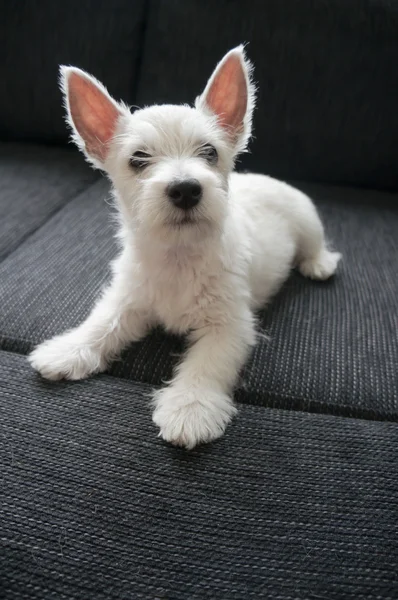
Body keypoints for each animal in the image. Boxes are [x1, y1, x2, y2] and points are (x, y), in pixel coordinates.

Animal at [29, 47, 340, 448]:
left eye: (209, 152)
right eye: (138, 159)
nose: (186, 189)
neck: (178, 254)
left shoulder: (229, 325)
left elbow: (206, 364)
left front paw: (190, 407)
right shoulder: (129, 299)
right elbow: (103, 322)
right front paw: (68, 349)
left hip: (306, 219)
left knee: (315, 245)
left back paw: (319, 264)